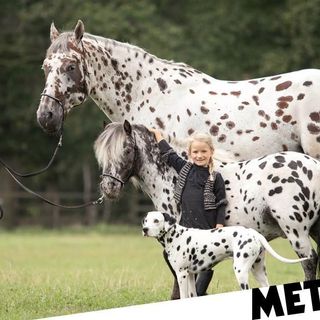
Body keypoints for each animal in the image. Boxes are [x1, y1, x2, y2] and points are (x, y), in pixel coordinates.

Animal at [94, 120, 320, 282]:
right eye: (102, 155)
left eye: (127, 150)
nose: (109, 187)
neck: (172, 174)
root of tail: (313, 166)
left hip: (296, 232)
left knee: (309, 262)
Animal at [142, 211, 308, 298]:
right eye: (146, 220)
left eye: (156, 220)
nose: (145, 229)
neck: (176, 236)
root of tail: (253, 233)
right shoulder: (190, 275)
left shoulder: (181, 274)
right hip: (258, 271)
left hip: (241, 271)